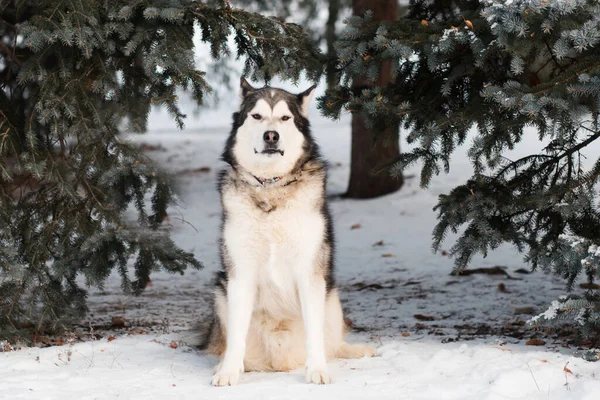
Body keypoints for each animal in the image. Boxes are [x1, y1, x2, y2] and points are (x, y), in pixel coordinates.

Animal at [199, 76, 376, 386]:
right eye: (257, 116)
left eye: (285, 118)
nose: (271, 136)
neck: (271, 188)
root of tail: (279, 361)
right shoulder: (240, 274)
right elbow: (236, 338)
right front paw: (229, 372)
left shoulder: (311, 273)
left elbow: (315, 335)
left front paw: (317, 370)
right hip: (221, 292)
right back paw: (225, 364)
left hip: (332, 298)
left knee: (333, 343)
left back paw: (352, 350)